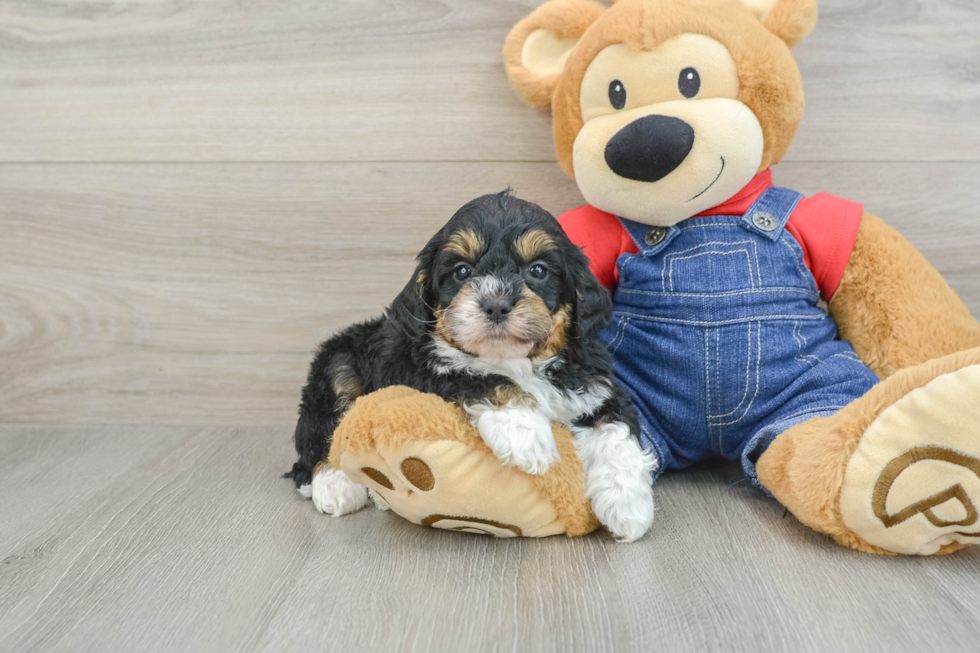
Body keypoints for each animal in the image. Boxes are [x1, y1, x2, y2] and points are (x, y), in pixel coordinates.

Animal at [288, 190, 656, 540]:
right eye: (462, 271)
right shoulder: (424, 370)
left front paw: (629, 505)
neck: (517, 361)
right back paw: (335, 486)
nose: (496, 304)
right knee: (320, 435)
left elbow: (617, 430)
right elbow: (479, 377)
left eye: (538, 270)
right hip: (336, 368)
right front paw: (526, 433)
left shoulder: (595, 387)